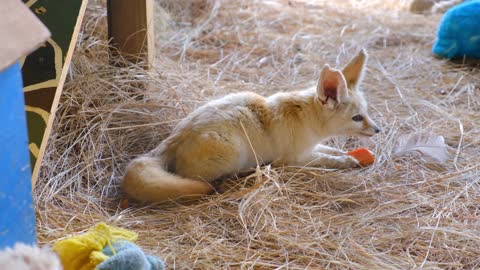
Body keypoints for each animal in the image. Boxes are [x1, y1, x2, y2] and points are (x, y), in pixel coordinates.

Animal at [122, 50, 380, 202]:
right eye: (358, 118)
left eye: (366, 113)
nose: (379, 130)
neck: (305, 117)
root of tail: (173, 139)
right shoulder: (294, 158)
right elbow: (327, 159)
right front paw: (347, 161)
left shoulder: (310, 147)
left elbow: (331, 150)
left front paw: (348, 154)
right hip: (232, 153)